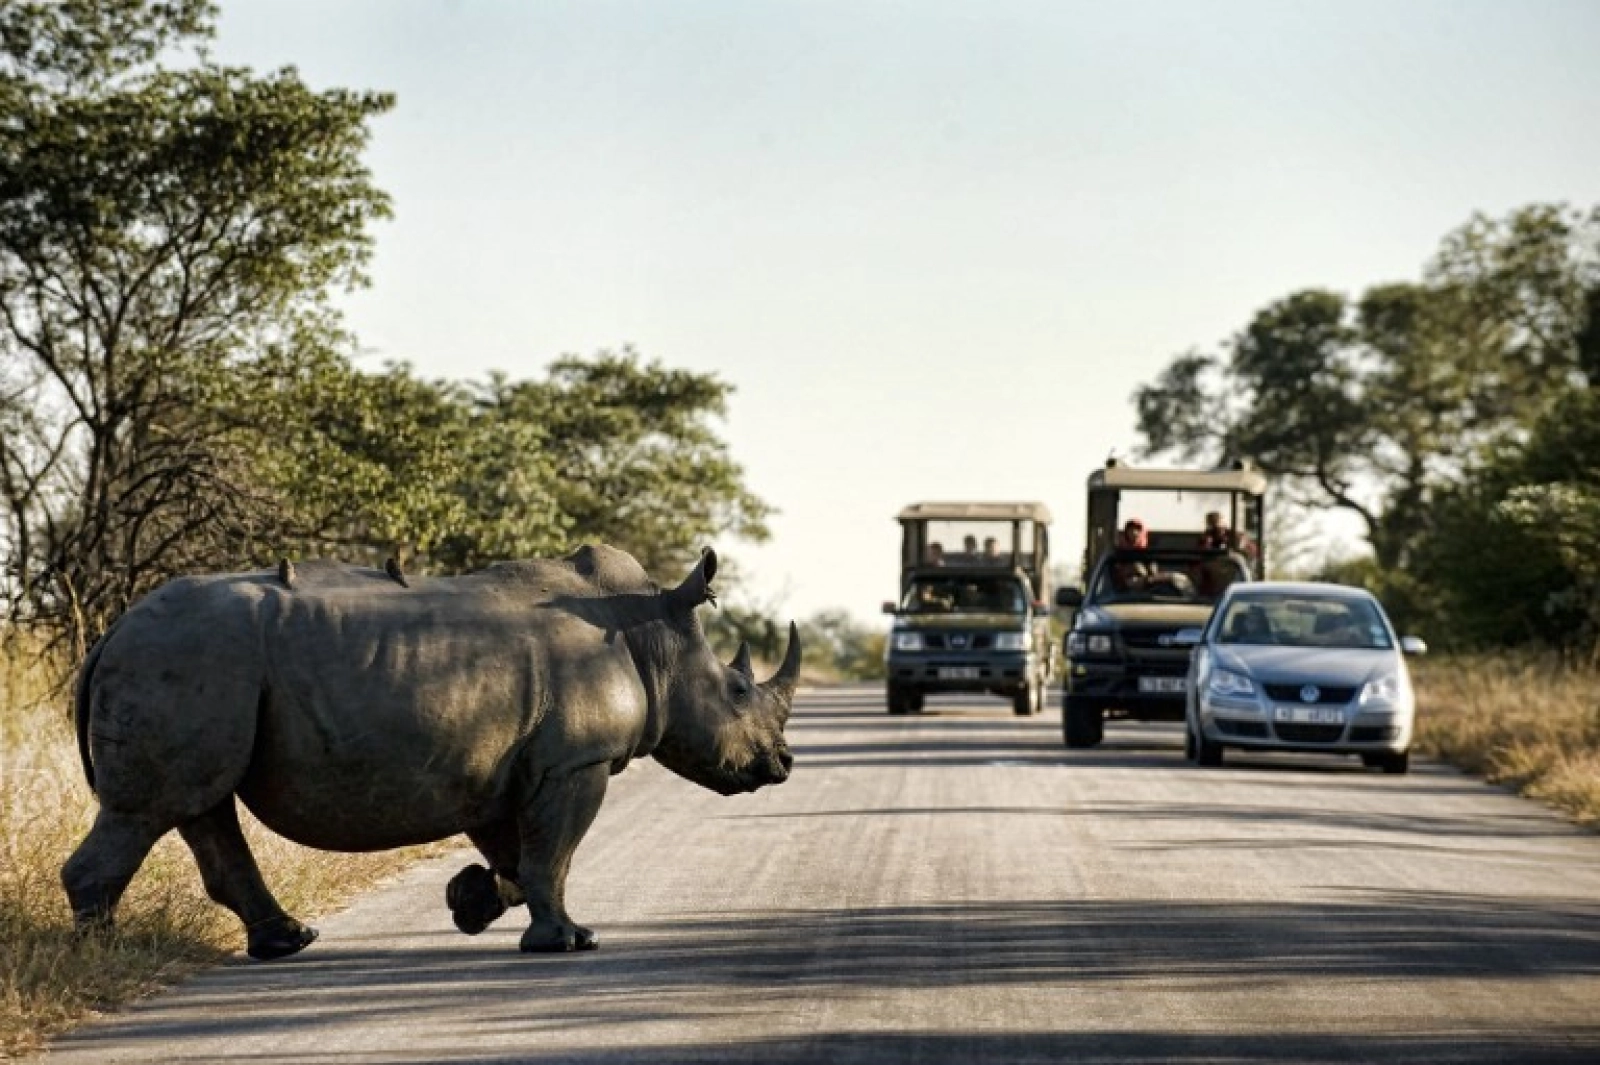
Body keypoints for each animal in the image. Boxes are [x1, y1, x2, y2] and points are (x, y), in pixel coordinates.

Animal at [63, 544, 798, 958]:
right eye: (737, 691)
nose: (783, 764)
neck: (652, 634)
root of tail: (112, 631)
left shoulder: (500, 766)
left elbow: (519, 856)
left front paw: (469, 900)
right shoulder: (574, 761)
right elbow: (552, 854)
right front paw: (567, 941)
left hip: (201, 670)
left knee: (197, 806)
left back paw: (286, 942)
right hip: (185, 659)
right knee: (147, 813)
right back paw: (101, 958)